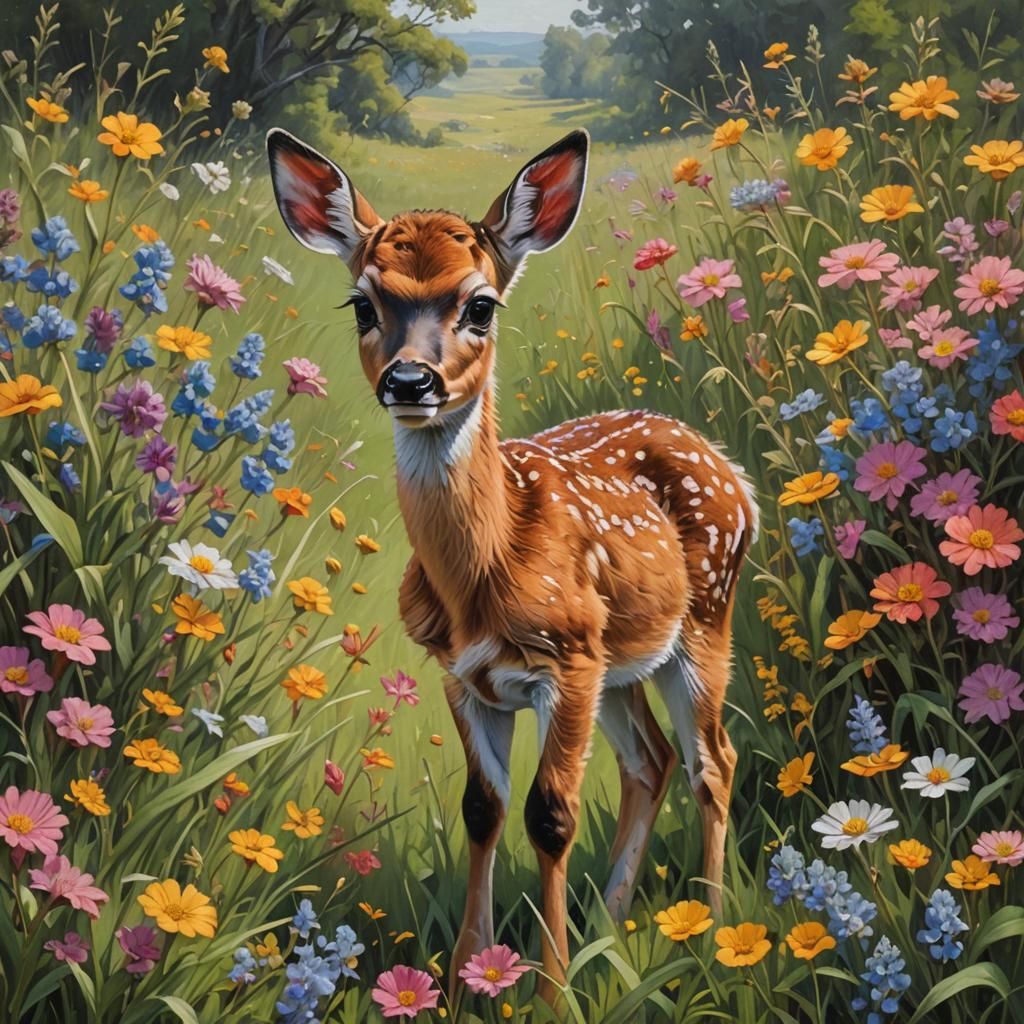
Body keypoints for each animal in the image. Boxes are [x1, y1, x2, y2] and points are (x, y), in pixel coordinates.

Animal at [267, 126, 758, 1004]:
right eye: (364, 303)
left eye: (479, 305)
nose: (410, 380)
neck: (482, 579)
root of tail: (729, 467)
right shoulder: (466, 676)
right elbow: (483, 809)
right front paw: (471, 980)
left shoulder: (563, 664)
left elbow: (550, 815)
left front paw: (551, 990)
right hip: (621, 662)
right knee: (651, 761)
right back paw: (609, 931)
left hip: (701, 623)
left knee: (712, 760)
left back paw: (709, 933)